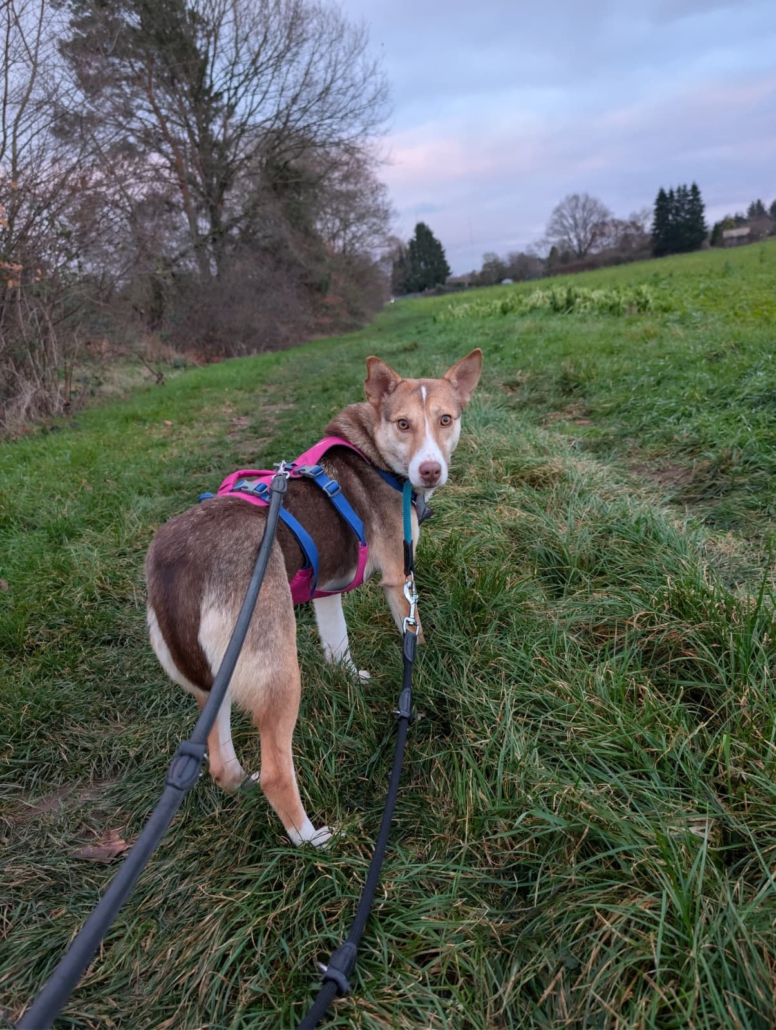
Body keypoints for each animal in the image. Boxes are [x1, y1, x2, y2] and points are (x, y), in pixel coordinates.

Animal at [145, 349, 482, 846]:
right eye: (403, 424)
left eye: (446, 419)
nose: (430, 470)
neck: (372, 452)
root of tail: (176, 568)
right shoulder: (399, 577)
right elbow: (414, 635)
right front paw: (421, 673)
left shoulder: (327, 589)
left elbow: (337, 645)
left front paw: (352, 679)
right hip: (279, 673)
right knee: (276, 773)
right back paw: (314, 839)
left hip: (213, 683)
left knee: (220, 765)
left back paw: (241, 785)